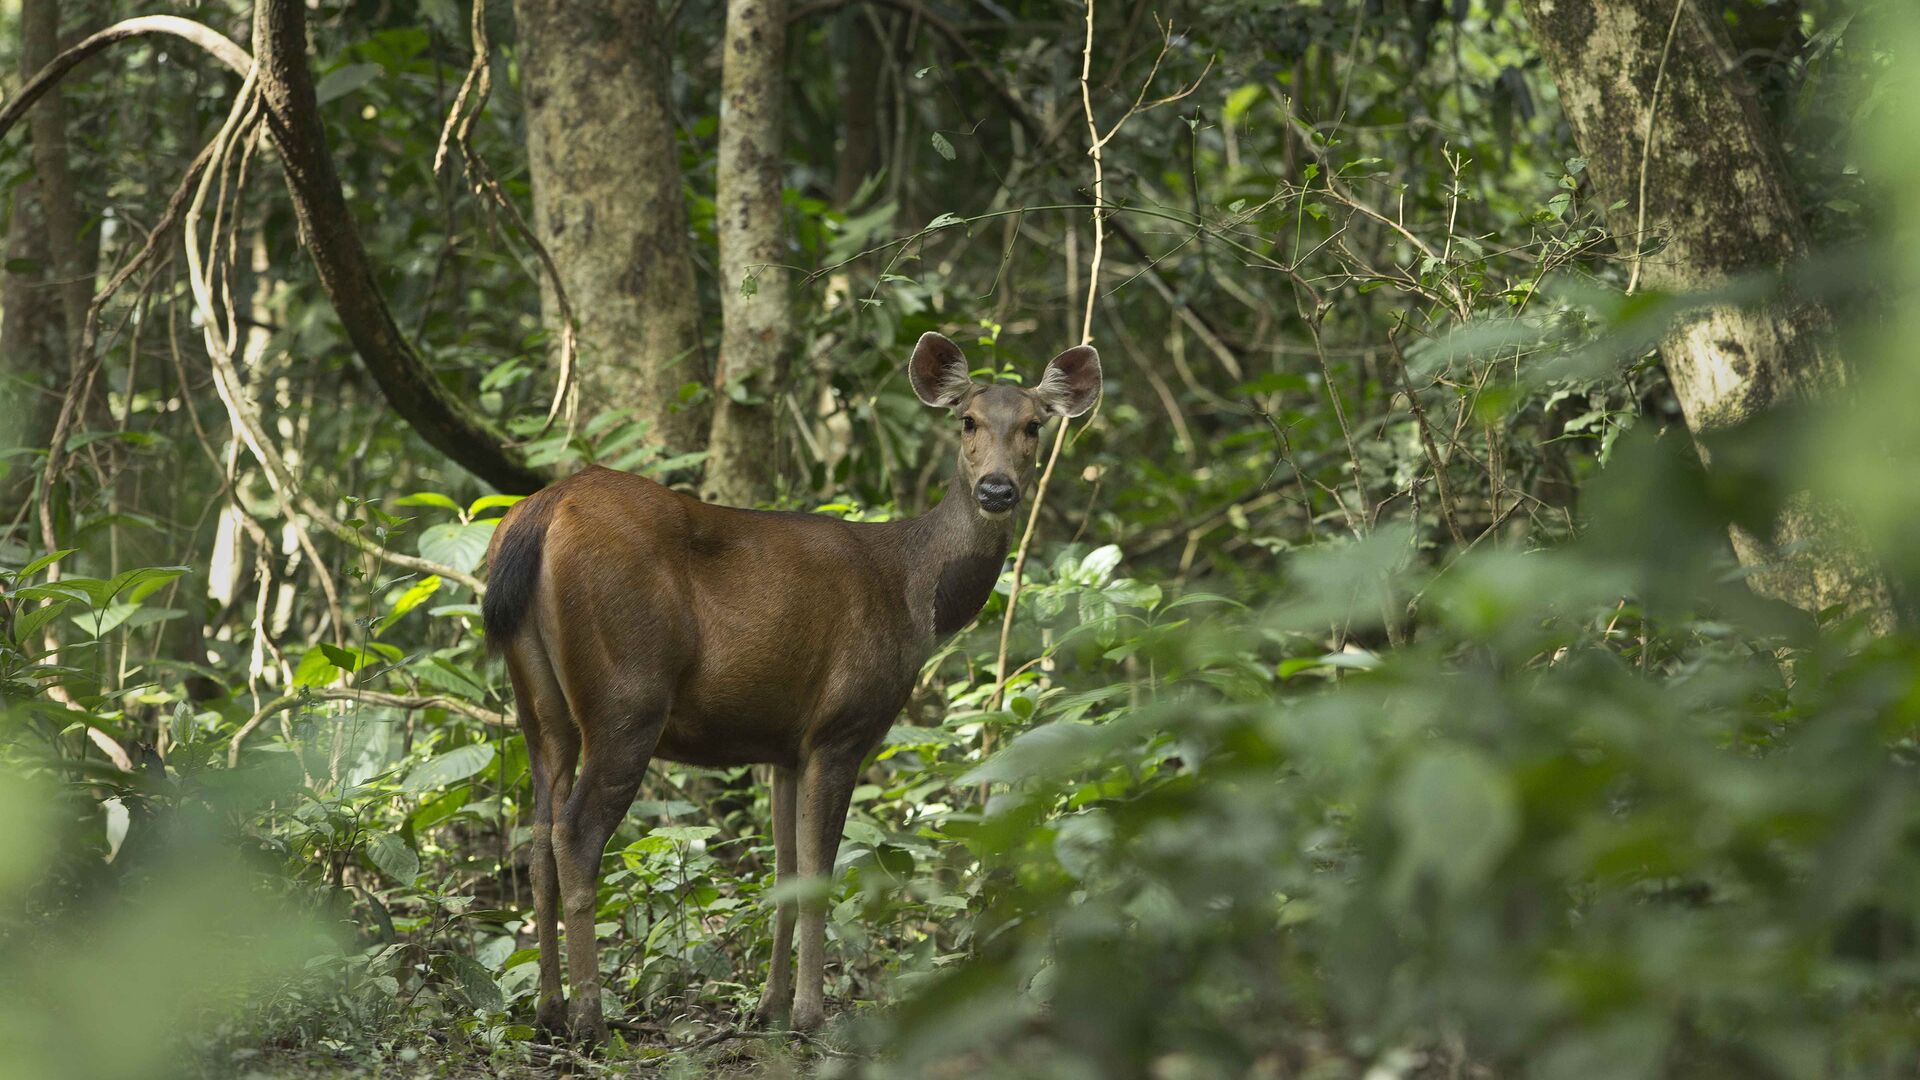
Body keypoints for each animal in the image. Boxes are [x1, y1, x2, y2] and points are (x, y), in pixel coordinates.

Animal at [487, 332, 1105, 1037]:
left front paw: (770, 1008)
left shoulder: (783, 743)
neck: (913, 592)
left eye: (1034, 425)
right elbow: (818, 873)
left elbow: (783, 874)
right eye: (968, 421)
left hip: (540, 707)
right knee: (575, 835)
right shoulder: (842, 725)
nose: (996, 488)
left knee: (536, 839)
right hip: (628, 694)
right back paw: (590, 1017)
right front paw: (811, 1013)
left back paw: (547, 1011)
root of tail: (537, 514)